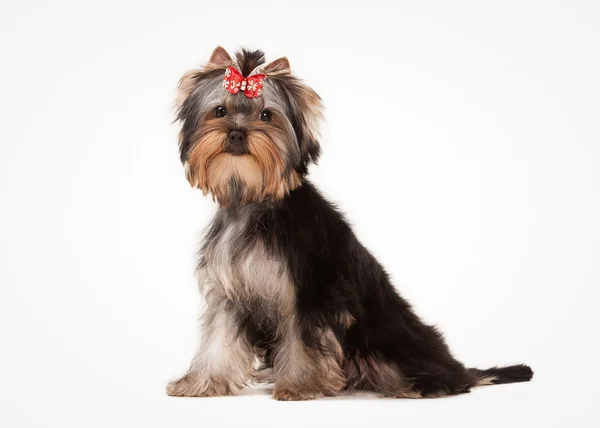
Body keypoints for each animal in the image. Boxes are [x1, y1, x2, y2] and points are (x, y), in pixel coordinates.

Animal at [165, 46, 536, 402]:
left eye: (267, 115)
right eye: (219, 111)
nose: (237, 134)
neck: (253, 202)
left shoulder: (309, 291)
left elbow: (303, 340)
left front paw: (299, 386)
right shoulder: (229, 294)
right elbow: (218, 340)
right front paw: (200, 383)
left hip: (389, 343)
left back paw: (421, 386)